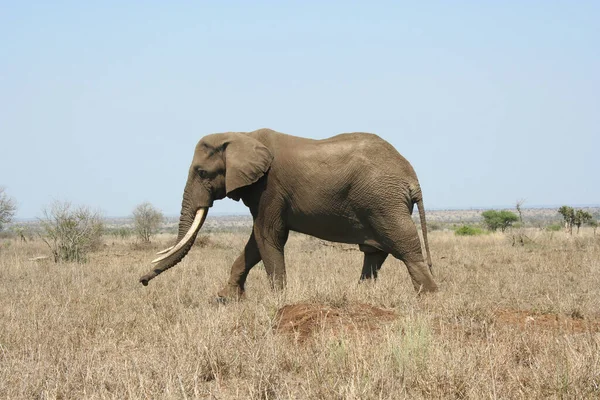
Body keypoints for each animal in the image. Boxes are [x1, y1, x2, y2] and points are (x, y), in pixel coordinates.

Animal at [141, 128, 440, 296]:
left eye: (202, 173)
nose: (143, 280)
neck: (241, 136)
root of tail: (411, 177)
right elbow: (255, 243)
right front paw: (226, 298)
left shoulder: (269, 188)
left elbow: (267, 236)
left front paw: (278, 301)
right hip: (379, 202)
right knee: (374, 254)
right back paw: (362, 296)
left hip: (383, 201)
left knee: (407, 250)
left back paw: (429, 299)